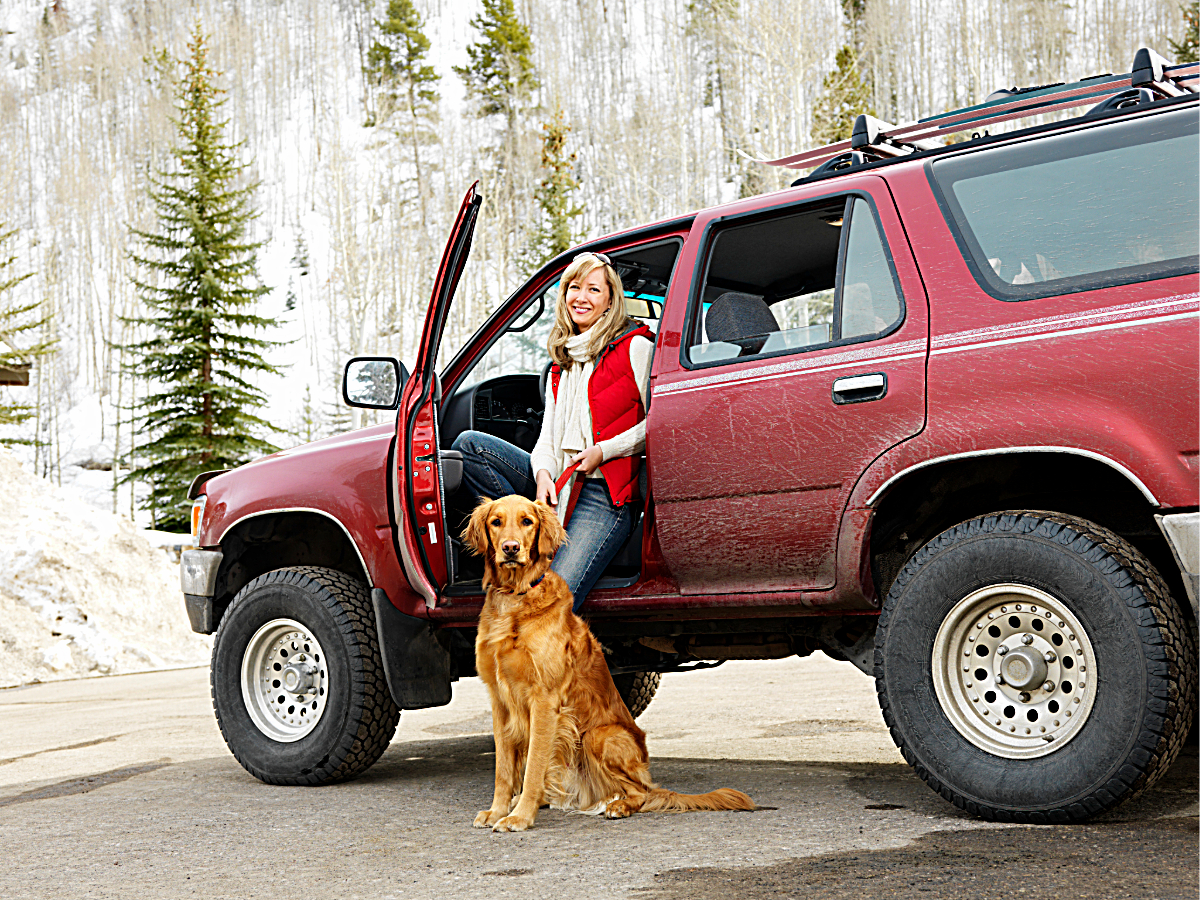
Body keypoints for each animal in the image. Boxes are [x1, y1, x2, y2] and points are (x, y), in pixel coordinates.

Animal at [463, 496, 753, 835]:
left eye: (527, 521)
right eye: (496, 522)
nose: (510, 548)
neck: (515, 599)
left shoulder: (544, 700)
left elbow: (533, 766)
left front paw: (520, 816)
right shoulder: (499, 700)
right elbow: (504, 769)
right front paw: (497, 811)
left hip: (598, 736)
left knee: (642, 792)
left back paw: (620, 806)